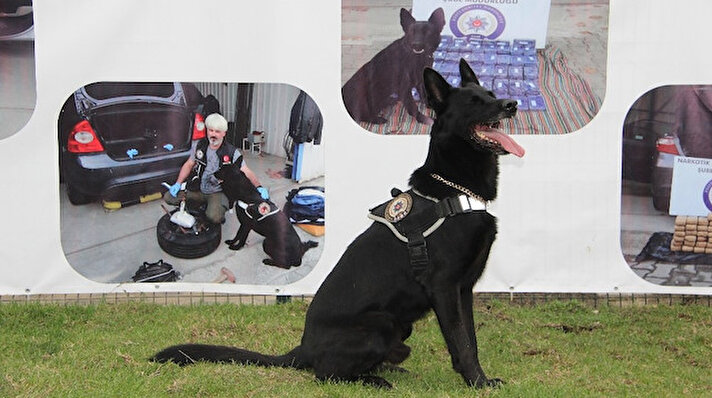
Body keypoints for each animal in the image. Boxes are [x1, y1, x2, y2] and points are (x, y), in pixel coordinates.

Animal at [153, 60, 524, 390]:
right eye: (474, 102)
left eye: (491, 93)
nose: (512, 105)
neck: (454, 190)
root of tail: (303, 349)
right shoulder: (445, 288)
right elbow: (461, 342)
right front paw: (478, 383)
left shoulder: (464, 289)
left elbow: (470, 339)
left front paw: (479, 379)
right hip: (381, 322)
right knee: (327, 374)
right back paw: (374, 380)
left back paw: (389, 370)